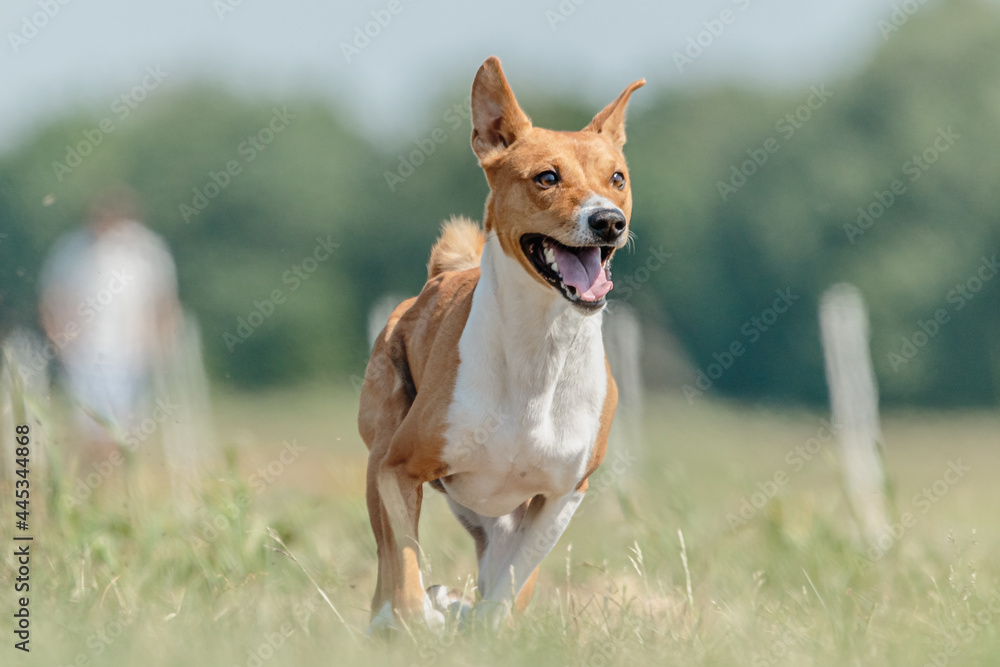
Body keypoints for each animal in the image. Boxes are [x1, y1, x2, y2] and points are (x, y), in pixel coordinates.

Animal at [358, 56, 640, 632]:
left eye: (617, 178)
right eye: (547, 177)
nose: (608, 220)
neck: (540, 350)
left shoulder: (561, 496)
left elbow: (508, 590)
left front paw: (478, 624)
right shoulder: (398, 468)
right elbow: (403, 569)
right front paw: (421, 616)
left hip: (500, 518)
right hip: (382, 447)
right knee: (385, 570)